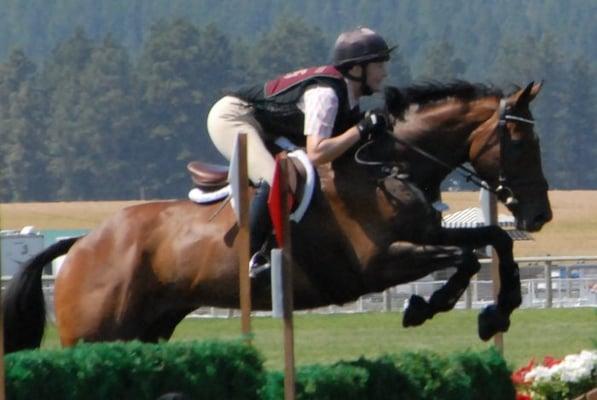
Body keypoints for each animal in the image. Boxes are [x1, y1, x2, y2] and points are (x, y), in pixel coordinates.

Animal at [3, 80, 548, 354]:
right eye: (521, 143)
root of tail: (80, 244)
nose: (540, 215)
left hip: (146, 330)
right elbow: (466, 257)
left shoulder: (428, 233)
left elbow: (493, 241)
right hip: (97, 334)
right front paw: (427, 305)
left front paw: (495, 312)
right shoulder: (380, 263)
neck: (389, 165)